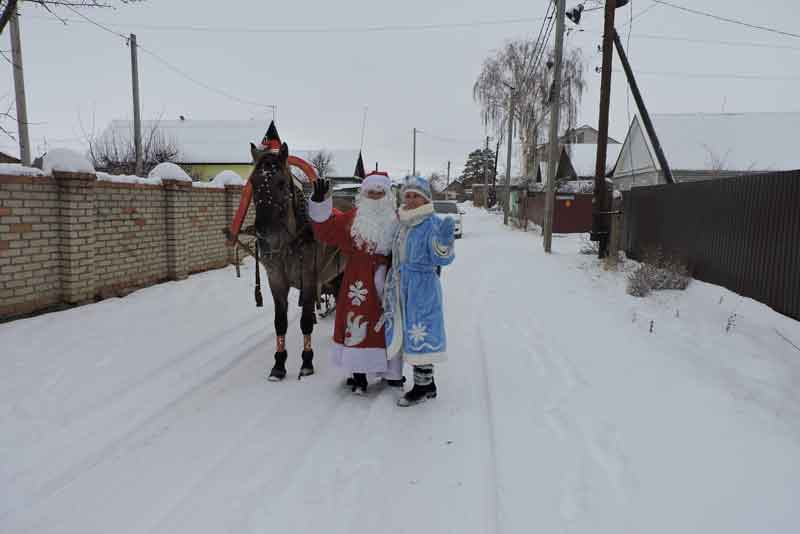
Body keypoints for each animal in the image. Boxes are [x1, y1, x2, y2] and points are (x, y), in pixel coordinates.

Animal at [245, 138, 342, 382]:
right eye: (253, 182)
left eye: (281, 183)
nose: (264, 234)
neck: (287, 242)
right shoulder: (276, 280)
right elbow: (280, 322)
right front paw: (279, 364)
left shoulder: (309, 278)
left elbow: (305, 321)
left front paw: (306, 362)